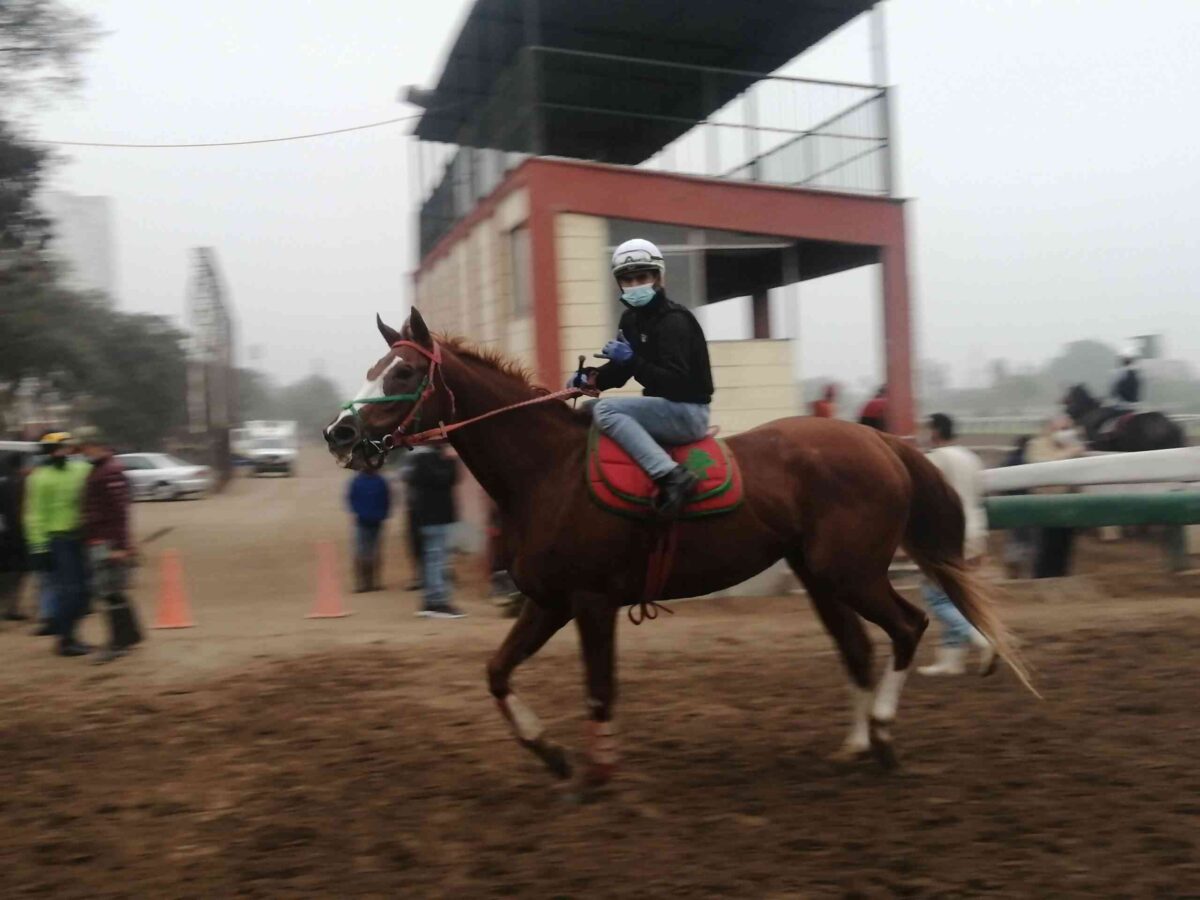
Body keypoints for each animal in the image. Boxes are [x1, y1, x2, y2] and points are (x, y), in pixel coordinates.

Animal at [323, 308, 1029, 789]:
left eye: (405, 371)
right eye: (372, 370)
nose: (339, 433)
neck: (549, 471)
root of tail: (879, 442)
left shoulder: (590, 602)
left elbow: (599, 689)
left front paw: (597, 772)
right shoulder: (549, 602)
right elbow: (497, 673)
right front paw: (551, 752)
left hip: (851, 573)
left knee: (907, 628)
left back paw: (881, 734)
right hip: (821, 576)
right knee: (857, 651)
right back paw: (856, 743)